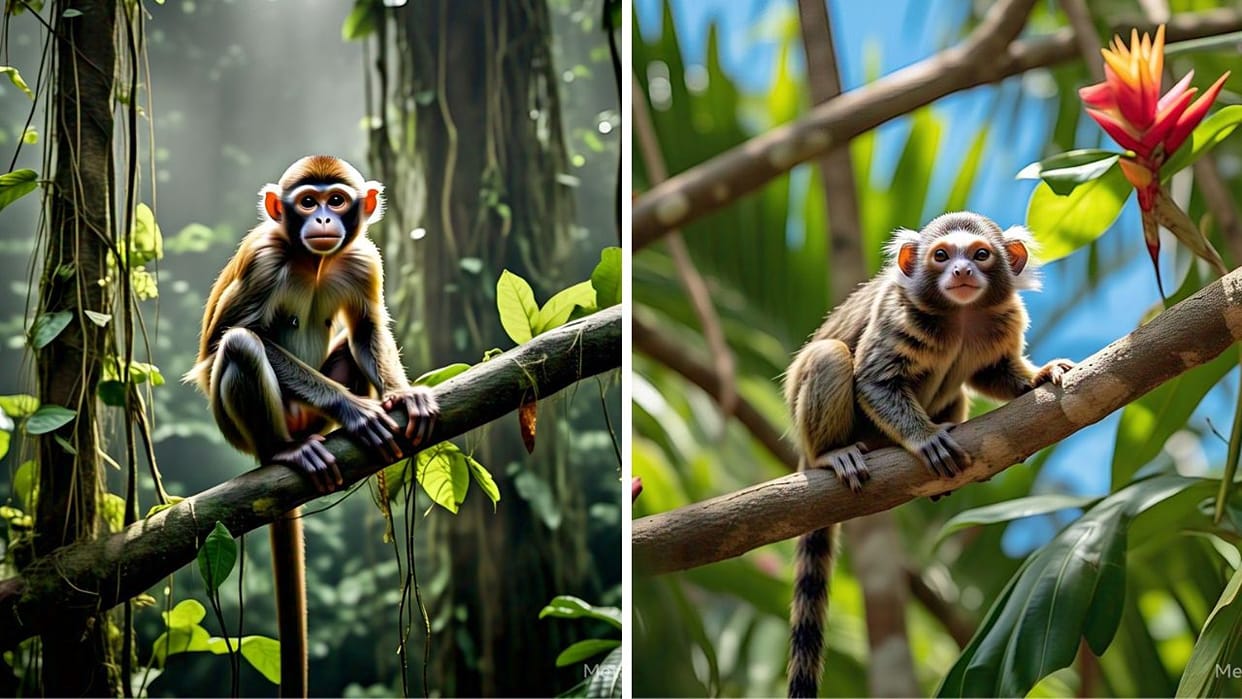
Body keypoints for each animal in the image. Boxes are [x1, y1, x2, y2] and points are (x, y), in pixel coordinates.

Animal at [185, 155, 437, 698]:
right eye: (307, 201)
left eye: (336, 200)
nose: (322, 218)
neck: (312, 262)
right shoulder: (263, 261)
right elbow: (220, 344)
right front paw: (356, 411)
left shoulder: (364, 258)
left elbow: (366, 328)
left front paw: (401, 395)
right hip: (237, 426)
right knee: (240, 345)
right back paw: (286, 451)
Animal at [784, 212, 1074, 698]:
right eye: (941, 256)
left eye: (980, 254)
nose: (960, 271)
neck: (960, 317)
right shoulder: (897, 316)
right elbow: (875, 381)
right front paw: (923, 439)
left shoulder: (1002, 320)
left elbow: (990, 372)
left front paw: (1038, 376)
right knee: (830, 355)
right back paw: (831, 454)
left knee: (955, 393)